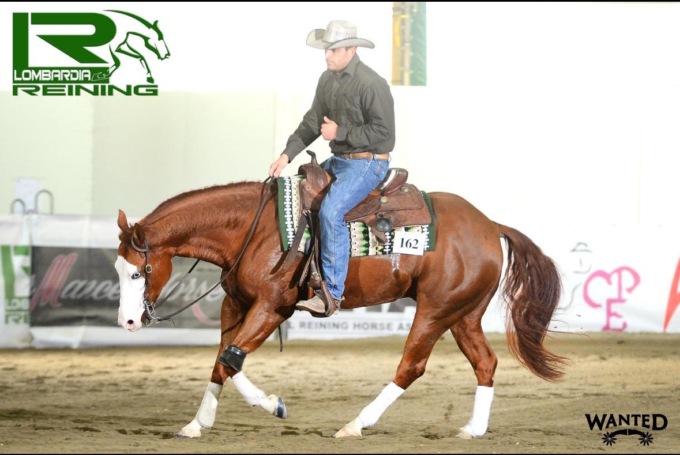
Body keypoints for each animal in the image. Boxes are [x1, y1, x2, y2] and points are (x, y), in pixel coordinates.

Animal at [114, 165, 569, 440]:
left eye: (138, 272)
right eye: (117, 269)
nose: (129, 323)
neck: (253, 228)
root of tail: (491, 225)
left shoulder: (272, 307)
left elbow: (231, 358)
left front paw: (274, 405)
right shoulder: (236, 304)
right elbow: (222, 360)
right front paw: (197, 423)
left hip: (436, 310)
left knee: (412, 366)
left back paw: (356, 424)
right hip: (464, 314)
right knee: (485, 363)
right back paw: (473, 429)